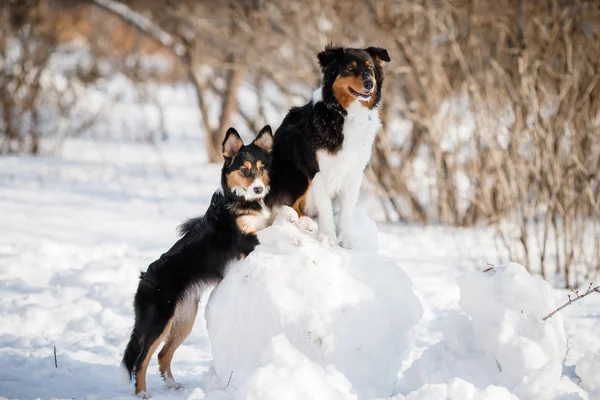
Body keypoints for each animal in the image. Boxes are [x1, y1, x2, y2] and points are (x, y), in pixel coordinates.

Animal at [266, 45, 390, 248]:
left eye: (369, 67)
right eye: (350, 68)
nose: (369, 83)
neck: (346, 115)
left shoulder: (354, 173)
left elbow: (347, 211)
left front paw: (345, 238)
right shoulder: (319, 171)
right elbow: (325, 207)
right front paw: (328, 237)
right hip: (295, 172)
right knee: (278, 204)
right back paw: (299, 219)